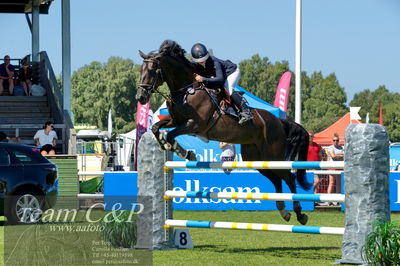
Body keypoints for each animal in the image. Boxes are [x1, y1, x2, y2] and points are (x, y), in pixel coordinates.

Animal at [136, 40, 310, 224]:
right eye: (140, 71)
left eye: (152, 71)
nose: (140, 97)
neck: (186, 90)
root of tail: (279, 121)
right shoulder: (175, 121)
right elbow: (156, 127)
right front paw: (166, 144)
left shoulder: (195, 124)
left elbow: (171, 134)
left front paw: (184, 152)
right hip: (256, 158)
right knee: (276, 179)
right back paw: (284, 211)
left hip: (273, 155)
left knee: (288, 177)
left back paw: (300, 213)